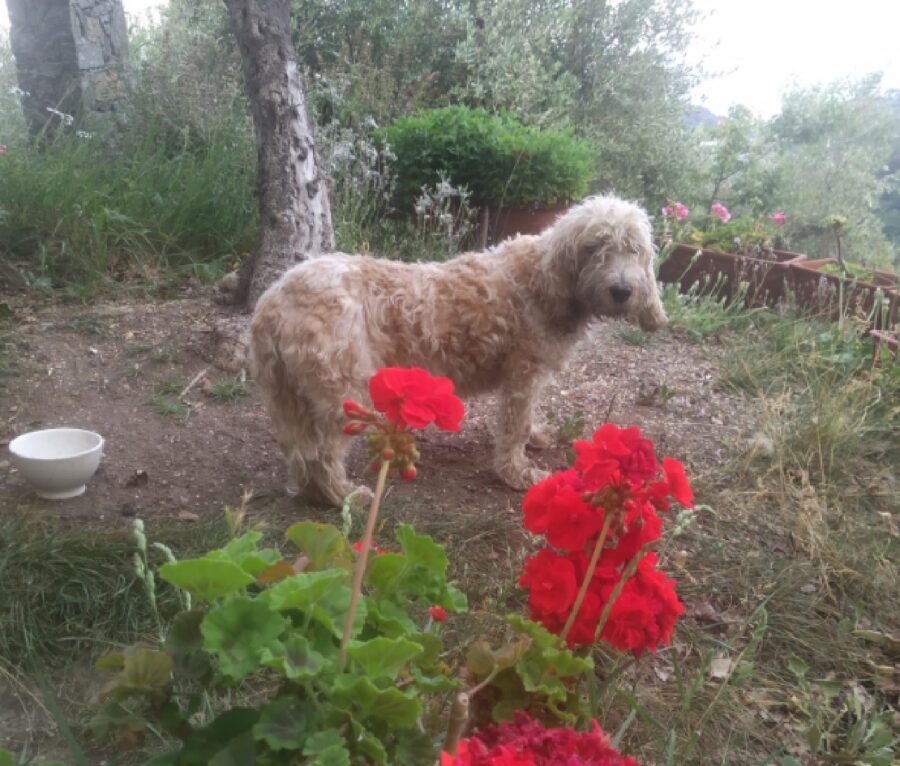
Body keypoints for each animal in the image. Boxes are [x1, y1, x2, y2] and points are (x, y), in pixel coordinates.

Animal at [251, 194, 668, 504]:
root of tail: (273, 299)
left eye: (634, 249)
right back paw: (344, 496)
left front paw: (536, 436)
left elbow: (527, 421)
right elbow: (514, 428)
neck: (544, 280)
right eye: (593, 247)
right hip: (345, 394)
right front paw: (517, 473)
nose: (622, 290)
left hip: (292, 397)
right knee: (323, 454)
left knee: (302, 453)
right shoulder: (523, 375)